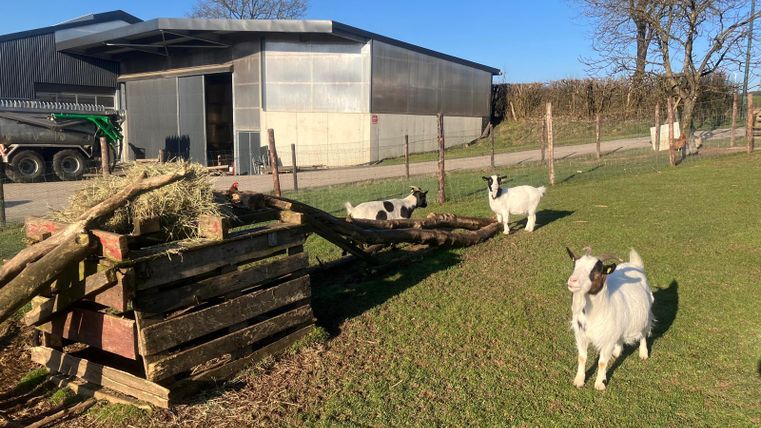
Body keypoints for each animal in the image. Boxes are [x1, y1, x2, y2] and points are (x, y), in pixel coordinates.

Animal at [565, 247, 655, 390]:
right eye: (575, 265)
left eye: (596, 270)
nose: (572, 281)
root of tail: (635, 265)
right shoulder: (581, 335)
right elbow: (582, 357)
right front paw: (579, 380)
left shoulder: (607, 341)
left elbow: (602, 362)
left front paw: (599, 384)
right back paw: (617, 352)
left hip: (645, 317)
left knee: (643, 335)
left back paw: (643, 353)